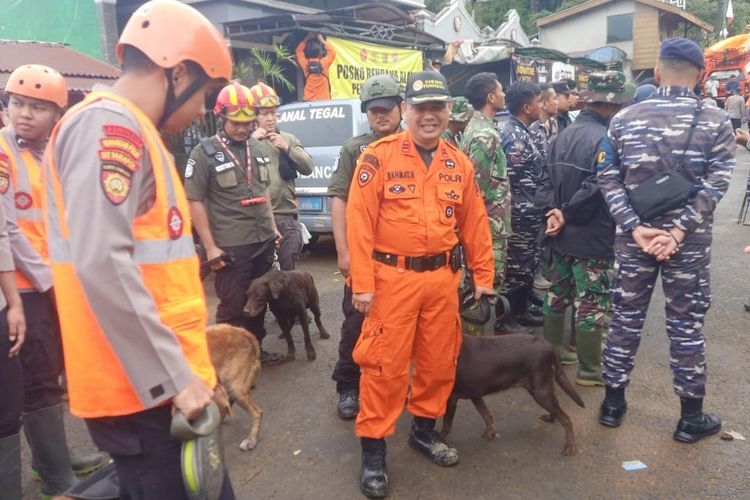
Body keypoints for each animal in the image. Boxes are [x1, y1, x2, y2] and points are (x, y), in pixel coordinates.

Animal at [440, 334, 588, 456]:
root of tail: (549, 346)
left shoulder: (451, 397)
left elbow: (446, 426)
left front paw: (440, 442)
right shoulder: (475, 394)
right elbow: (486, 415)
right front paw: (490, 432)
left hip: (540, 392)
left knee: (566, 419)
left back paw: (570, 447)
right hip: (543, 389)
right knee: (556, 407)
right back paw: (551, 418)